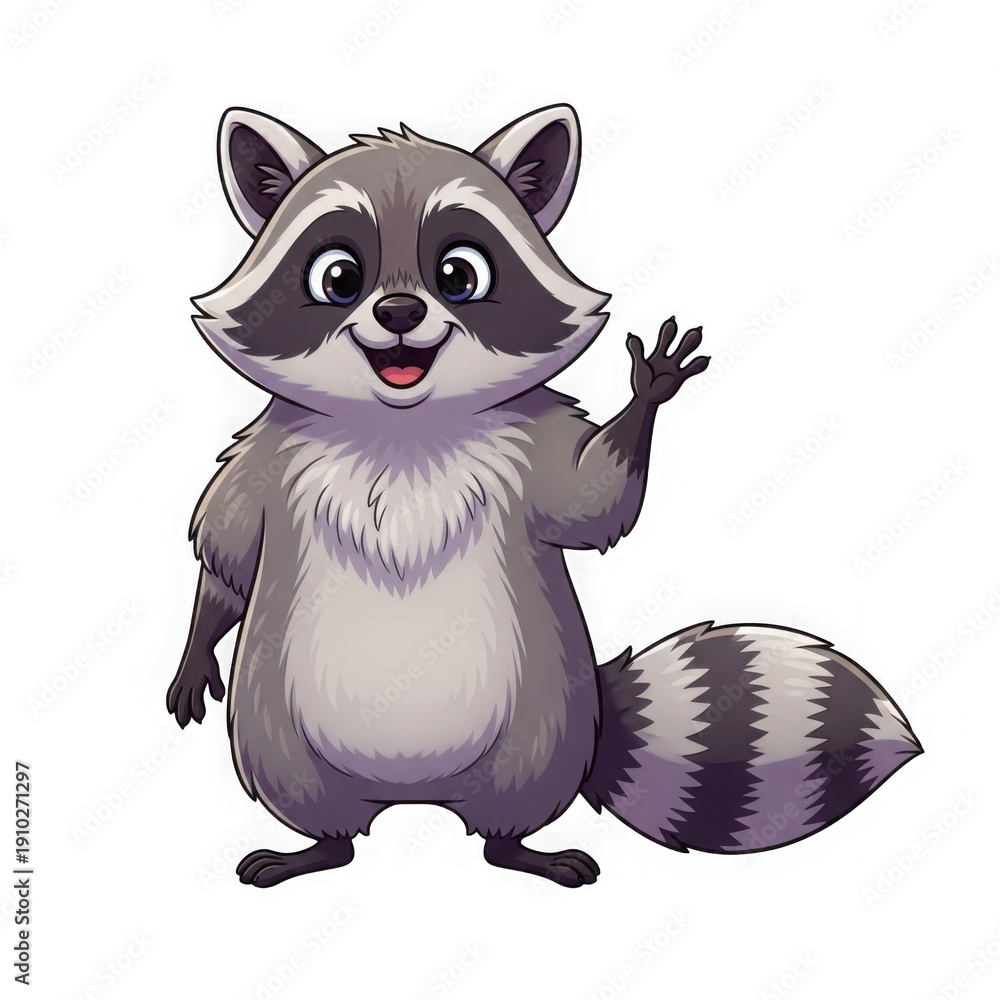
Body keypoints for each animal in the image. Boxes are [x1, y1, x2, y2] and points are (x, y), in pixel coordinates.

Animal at [166, 105, 921, 888]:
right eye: (338, 276)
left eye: (459, 273)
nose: (400, 311)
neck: (401, 426)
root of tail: (416, 796)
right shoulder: (266, 459)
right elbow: (229, 558)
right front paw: (198, 640)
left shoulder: (532, 446)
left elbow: (592, 501)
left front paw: (647, 394)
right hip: (276, 721)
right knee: (304, 790)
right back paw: (318, 846)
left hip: (546, 717)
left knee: (517, 797)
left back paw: (518, 847)